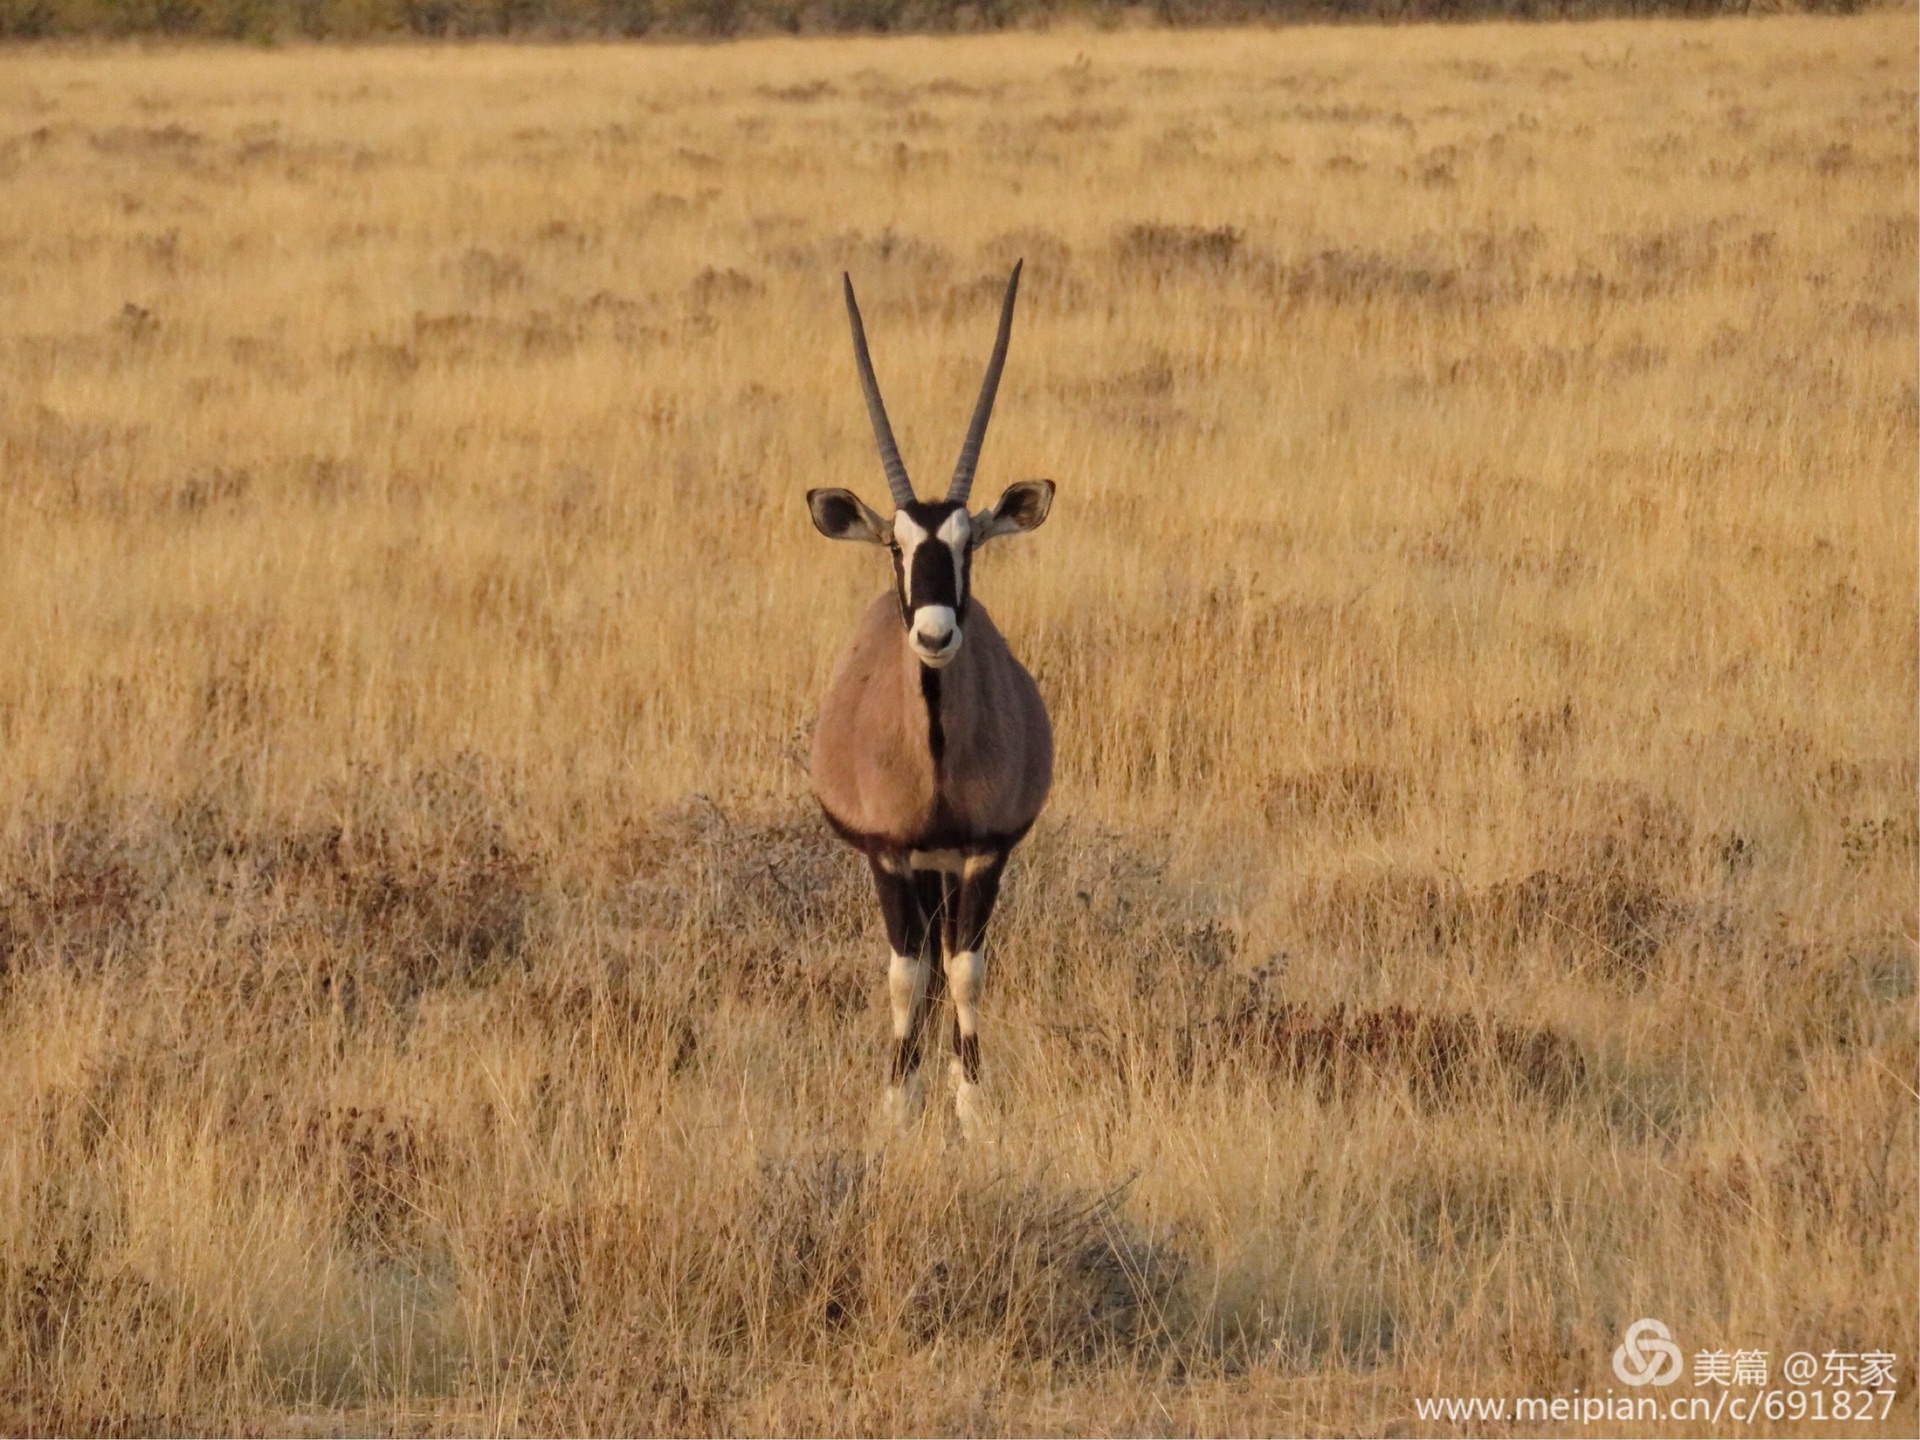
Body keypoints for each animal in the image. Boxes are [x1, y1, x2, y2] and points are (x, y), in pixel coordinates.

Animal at [806, 259, 1059, 1136]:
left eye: (968, 543)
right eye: (896, 545)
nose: (935, 632)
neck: (937, 760)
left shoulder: (985, 852)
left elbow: (965, 971)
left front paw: (972, 1111)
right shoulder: (887, 854)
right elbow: (906, 976)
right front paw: (894, 1106)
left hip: (947, 869)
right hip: (915, 868)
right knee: (915, 959)